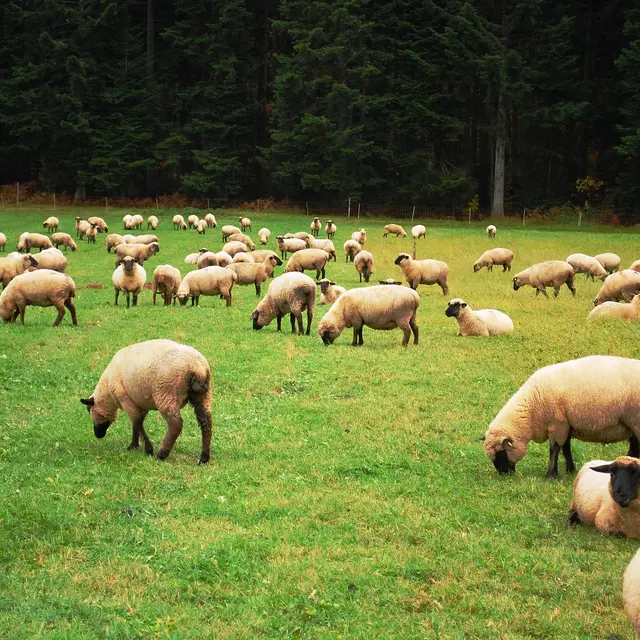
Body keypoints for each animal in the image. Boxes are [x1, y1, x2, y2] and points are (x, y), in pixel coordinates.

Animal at [80, 339, 212, 464]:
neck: (107, 390)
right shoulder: (140, 403)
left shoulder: (126, 400)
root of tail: (197, 368)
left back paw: (162, 454)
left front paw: (148, 449)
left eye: (89, 410)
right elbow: (136, 424)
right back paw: (204, 458)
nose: (98, 435)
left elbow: (137, 422)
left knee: (176, 424)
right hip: (202, 396)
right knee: (206, 422)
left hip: (166, 393)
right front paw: (133, 446)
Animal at [482, 355, 640, 478]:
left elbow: (555, 449)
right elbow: (566, 448)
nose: (504, 474)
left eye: (501, 453)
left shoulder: (557, 424)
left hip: (635, 420)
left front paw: (551, 474)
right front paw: (570, 470)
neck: (532, 409)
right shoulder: (566, 424)